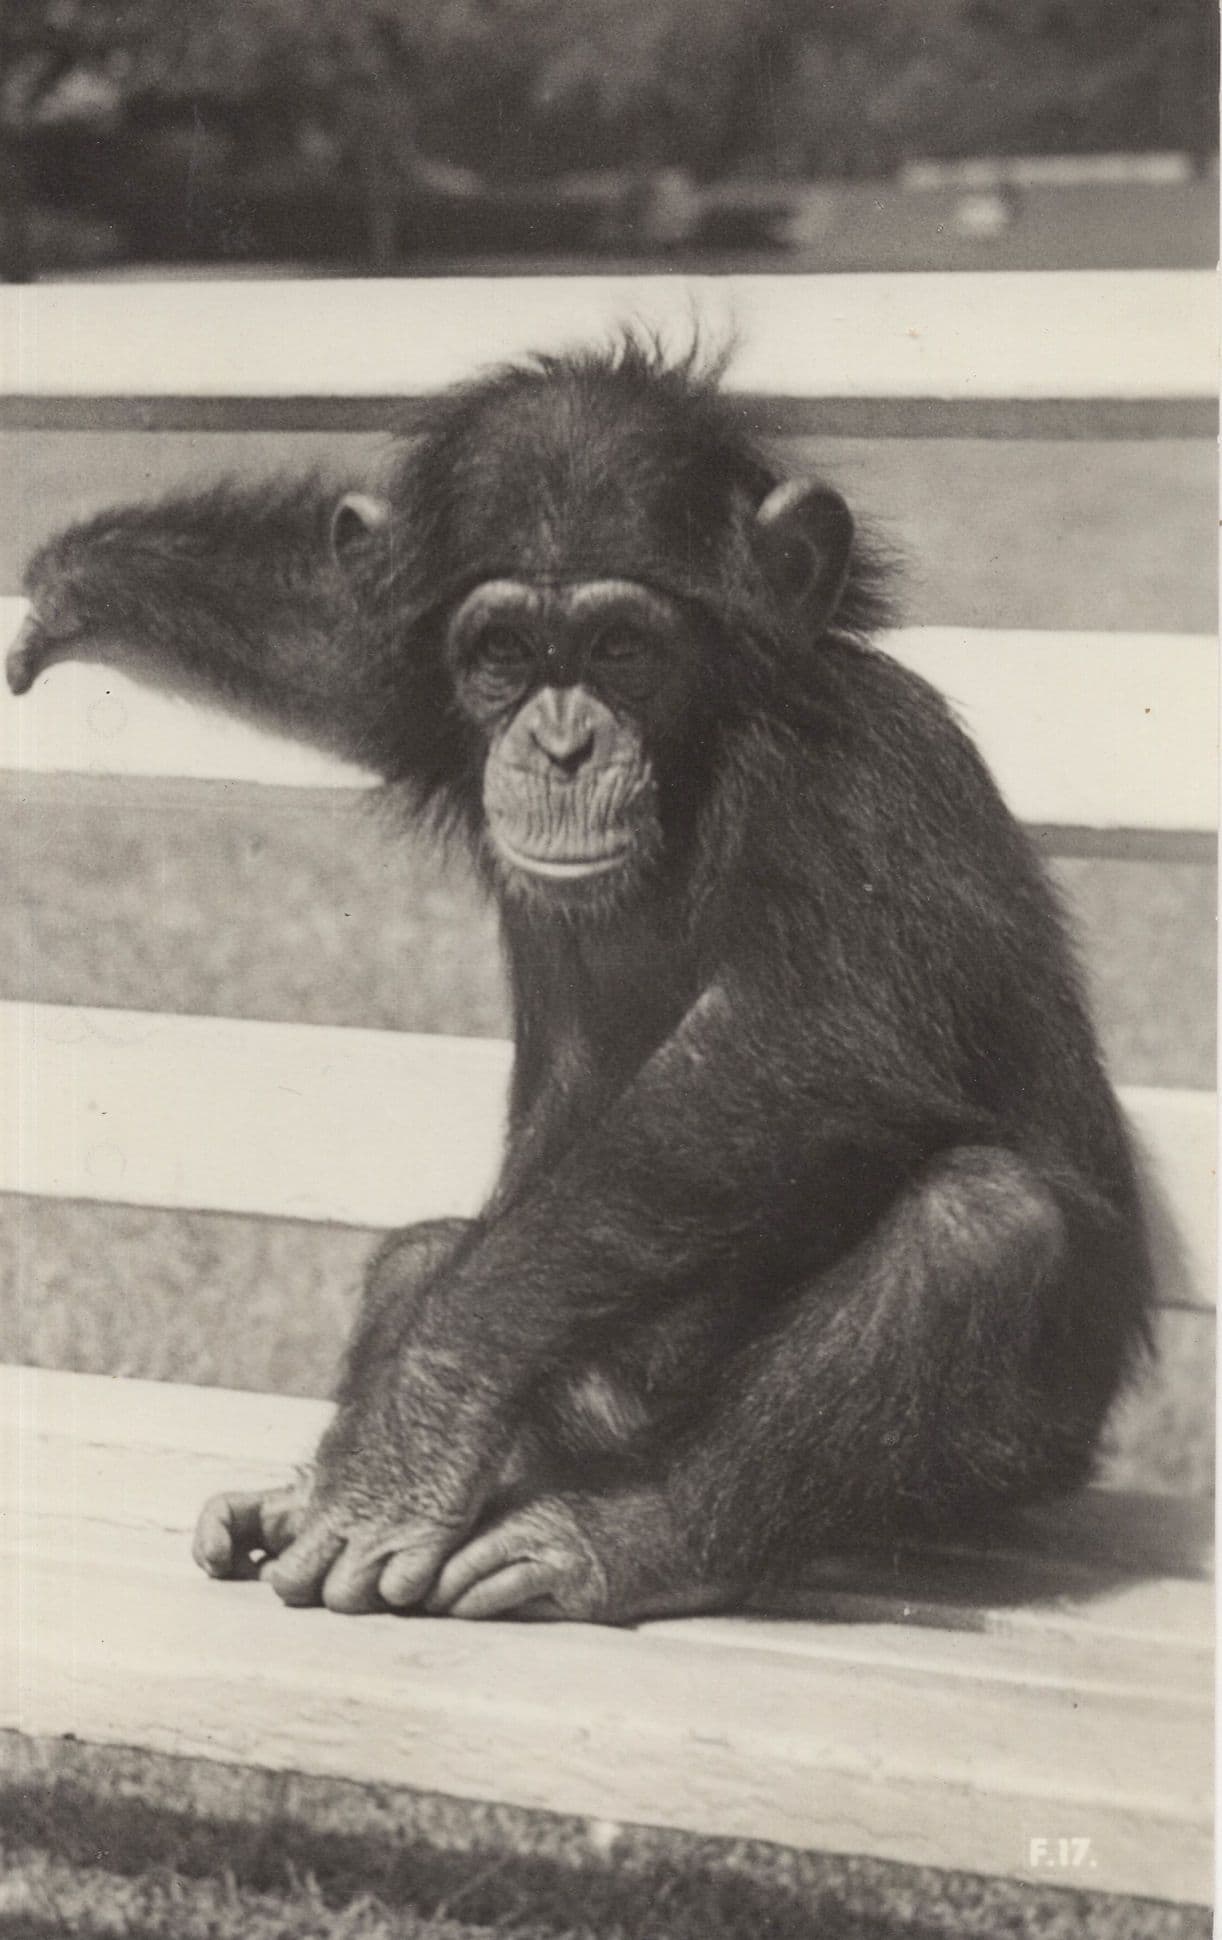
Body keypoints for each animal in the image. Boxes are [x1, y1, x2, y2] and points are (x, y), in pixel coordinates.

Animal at [8, 338, 1153, 1623]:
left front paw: (419, 1417)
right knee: (424, 1257)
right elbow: (338, 634)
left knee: (978, 1228)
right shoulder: (413, 682)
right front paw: (78, 581)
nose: (560, 744)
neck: (705, 756)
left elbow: (815, 1037)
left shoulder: (853, 769)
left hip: (1013, 1452)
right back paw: (325, 1490)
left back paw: (614, 1536)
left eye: (620, 650)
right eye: (505, 651)